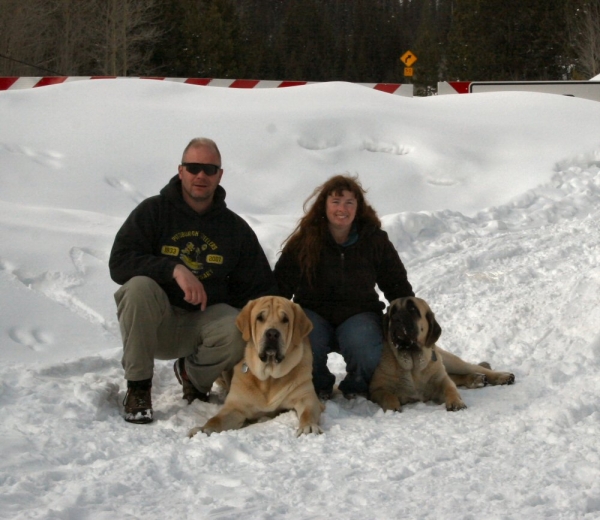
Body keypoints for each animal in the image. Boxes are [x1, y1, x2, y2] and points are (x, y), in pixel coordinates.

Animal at [191, 294, 324, 436]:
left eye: (285, 319)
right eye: (260, 317)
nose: (272, 333)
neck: (269, 377)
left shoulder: (306, 397)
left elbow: (308, 412)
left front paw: (308, 426)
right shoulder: (235, 406)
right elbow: (216, 419)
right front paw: (204, 429)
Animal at [368, 298, 512, 412]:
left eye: (412, 309)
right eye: (393, 312)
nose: (396, 318)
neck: (413, 363)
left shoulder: (440, 381)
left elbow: (450, 388)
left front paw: (456, 402)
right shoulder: (376, 389)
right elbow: (388, 395)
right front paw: (392, 407)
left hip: (452, 362)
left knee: (475, 369)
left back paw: (502, 377)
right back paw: (476, 379)